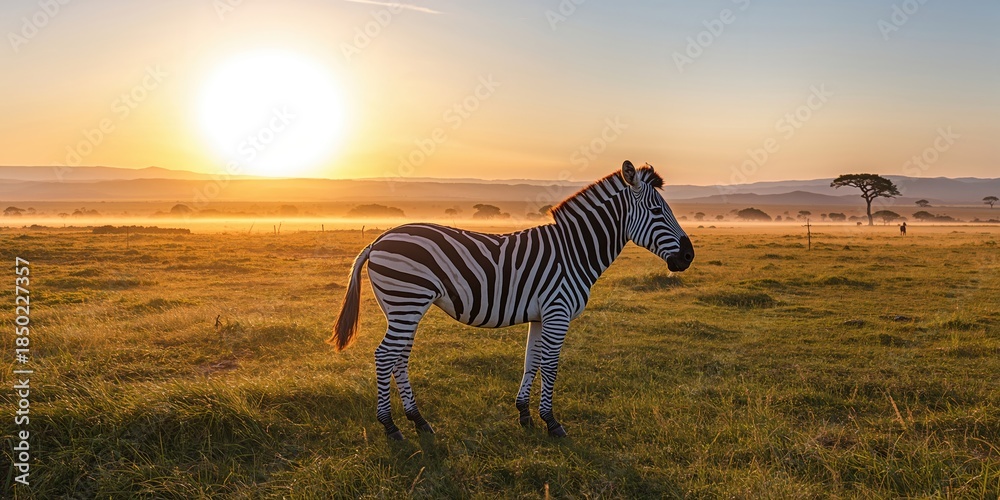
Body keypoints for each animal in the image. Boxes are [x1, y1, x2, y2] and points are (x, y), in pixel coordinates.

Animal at [329, 160, 694, 440]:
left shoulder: (541, 315)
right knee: (384, 356)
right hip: (406, 301)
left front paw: (524, 415)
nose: (689, 256)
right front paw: (552, 423)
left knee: (399, 358)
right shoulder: (558, 312)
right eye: (657, 210)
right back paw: (391, 427)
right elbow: (550, 365)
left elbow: (531, 361)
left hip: (403, 308)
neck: (574, 252)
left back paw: (419, 421)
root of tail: (378, 240)